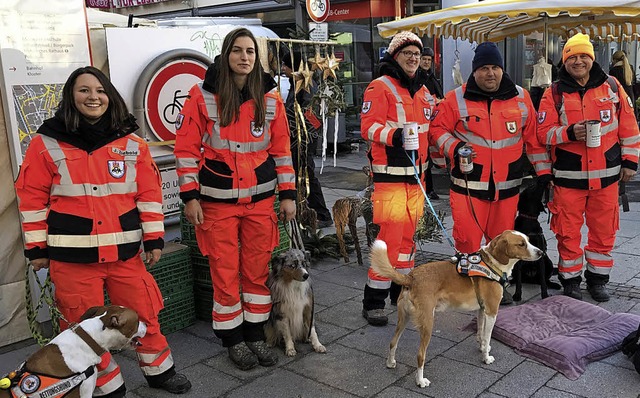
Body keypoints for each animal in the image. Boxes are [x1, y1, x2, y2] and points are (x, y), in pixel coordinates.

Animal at [370, 230, 544, 388]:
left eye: (528, 241)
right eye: (521, 244)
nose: (541, 252)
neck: (492, 263)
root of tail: (411, 277)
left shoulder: (482, 310)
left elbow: (481, 333)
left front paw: (483, 347)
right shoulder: (491, 311)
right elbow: (487, 336)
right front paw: (486, 358)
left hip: (403, 319)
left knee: (393, 342)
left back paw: (391, 362)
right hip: (428, 323)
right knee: (420, 355)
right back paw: (420, 381)